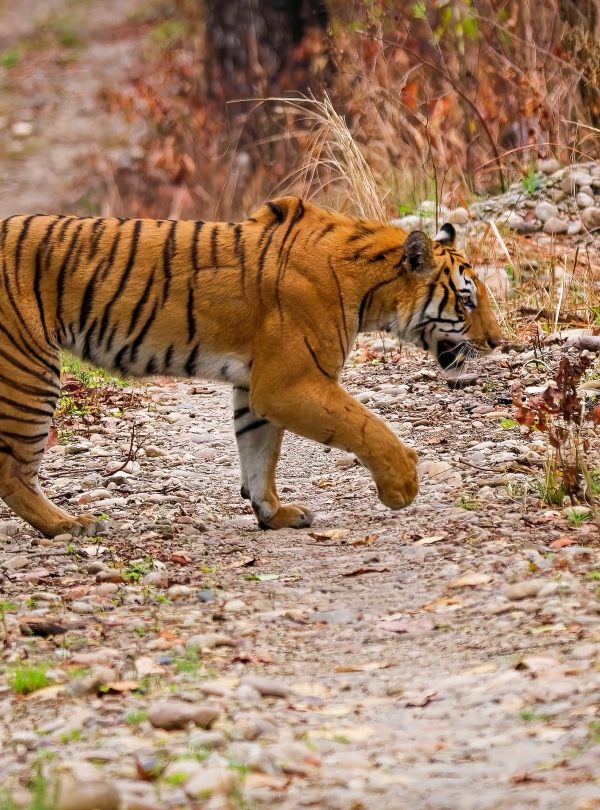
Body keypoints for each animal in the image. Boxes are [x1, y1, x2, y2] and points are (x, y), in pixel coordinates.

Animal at [0, 196, 502, 537]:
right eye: (466, 300)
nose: (498, 342)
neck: (369, 288)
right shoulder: (290, 382)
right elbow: (366, 425)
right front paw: (403, 486)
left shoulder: (258, 387)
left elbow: (260, 454)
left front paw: (274, 514)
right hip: (30, 372)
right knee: (13, 472)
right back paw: (69, 525)